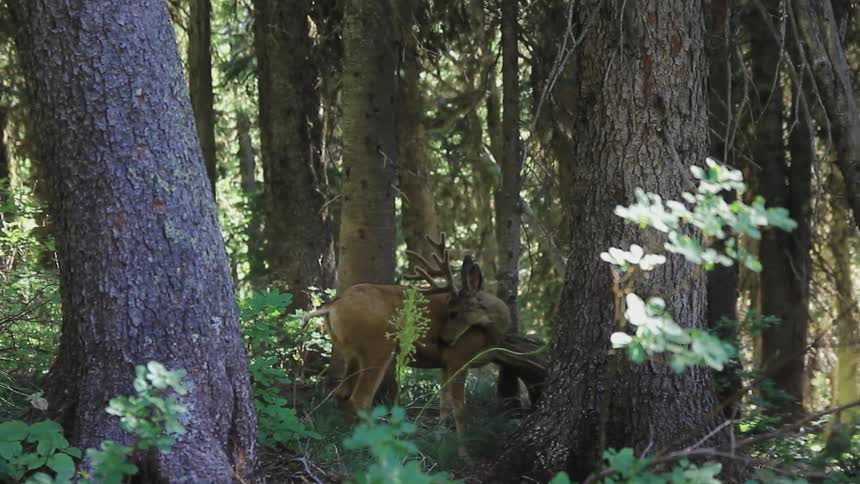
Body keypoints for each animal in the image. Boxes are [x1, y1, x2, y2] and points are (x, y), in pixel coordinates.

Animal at [302, 234, 511, 456]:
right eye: (450, 312)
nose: (442, 340)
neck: (490, 334)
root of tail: (333, 305)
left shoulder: (445, 364)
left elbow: (443, 404)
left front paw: (439, 439)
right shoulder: (458, 358)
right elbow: (459, 408)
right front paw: (464, 454)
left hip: (351, 353)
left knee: (342, 393)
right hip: (378, 346)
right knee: (360, 398)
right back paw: (376, 444)